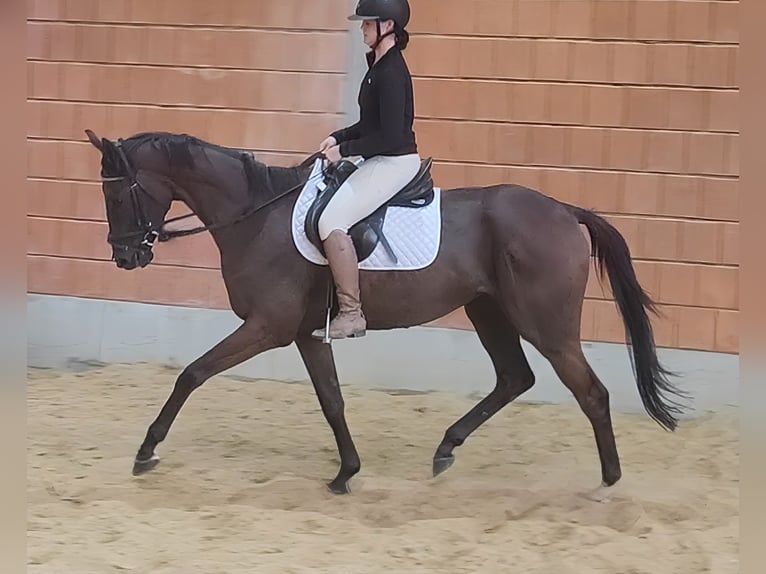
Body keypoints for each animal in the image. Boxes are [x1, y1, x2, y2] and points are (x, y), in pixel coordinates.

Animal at [83, 127, 688, 495]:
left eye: (115, 194)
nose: (125, 256)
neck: (256, 217)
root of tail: (564, 209)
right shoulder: (306, 334)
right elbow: (331, 401)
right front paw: (345, 473)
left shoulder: (267, 327)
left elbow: (192, 374)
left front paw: (146, 450)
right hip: (488, 312)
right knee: (515, 378)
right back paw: (446, 449)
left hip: (546, 324)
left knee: (591, 392)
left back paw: (608, 482)